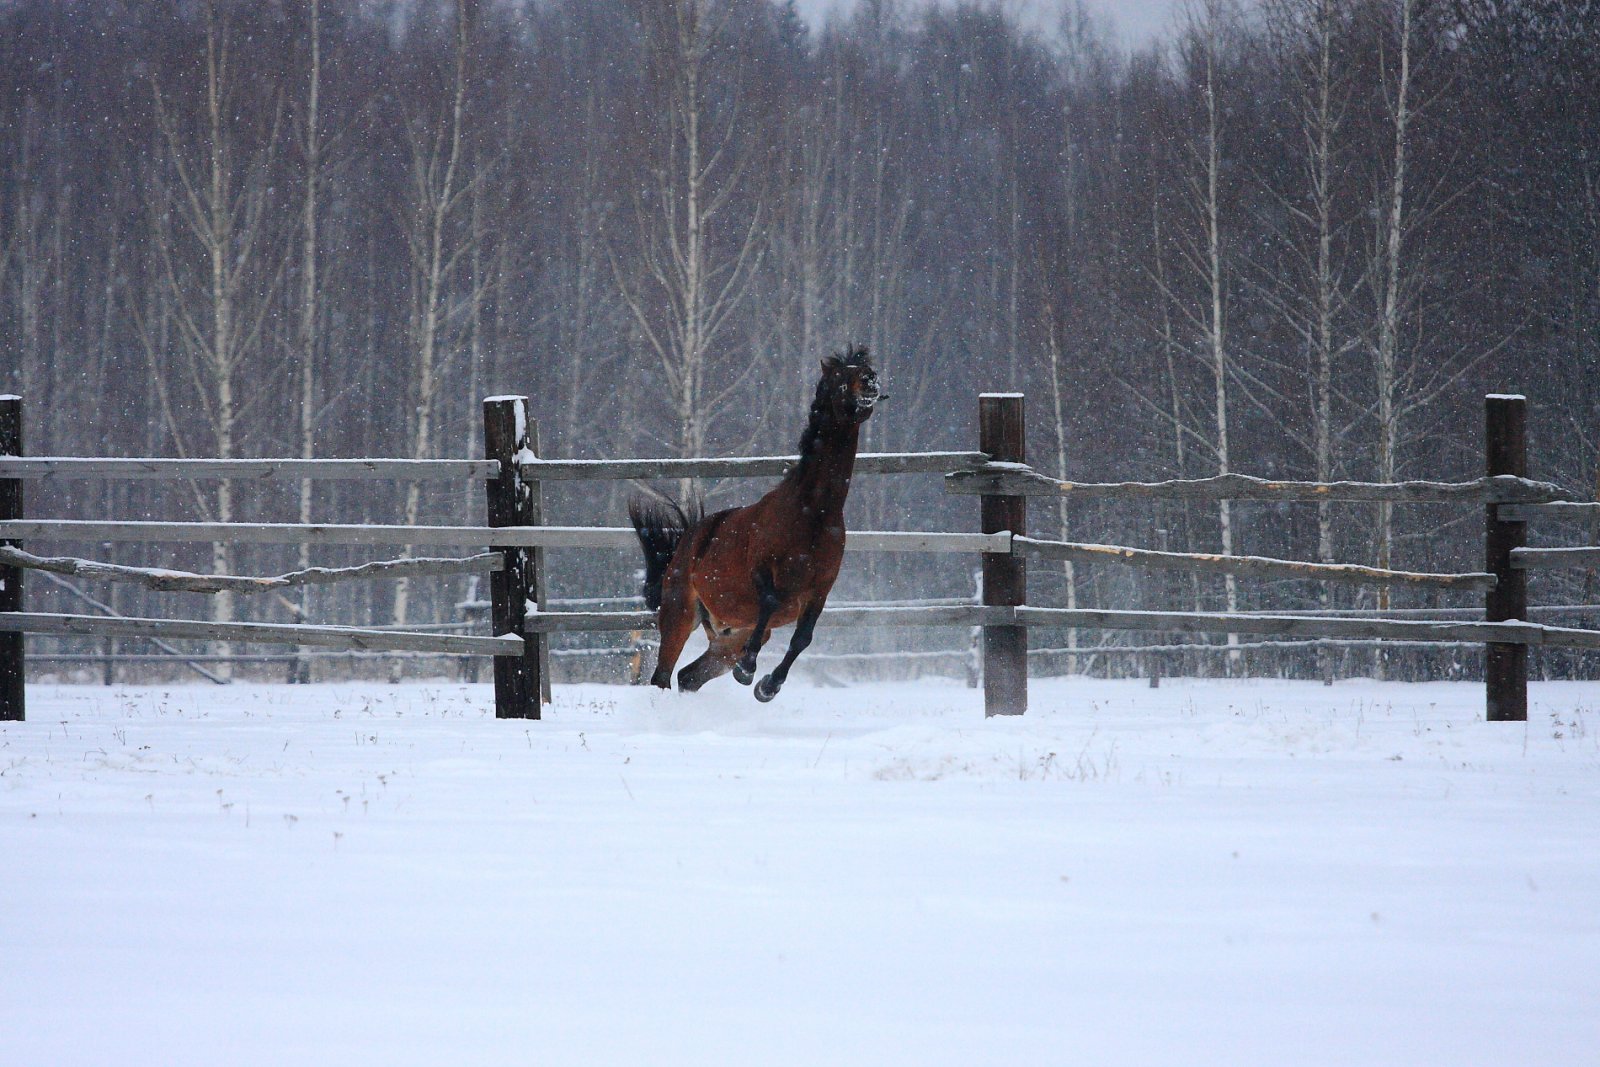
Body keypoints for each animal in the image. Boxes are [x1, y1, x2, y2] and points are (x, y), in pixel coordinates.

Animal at [628, 347, 883, 701]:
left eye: (863, 367)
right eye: (838, 375)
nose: (870, 379)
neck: (813, 514)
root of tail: (684, 544)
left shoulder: (820, 591)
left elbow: (803, 638)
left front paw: (767, 686)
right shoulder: (761, 572)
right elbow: (772, 601)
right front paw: (748, 670)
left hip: (728, 636)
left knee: (689, 676)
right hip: (680, 613)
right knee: (662, 676)